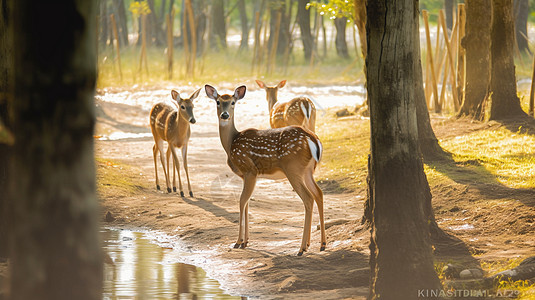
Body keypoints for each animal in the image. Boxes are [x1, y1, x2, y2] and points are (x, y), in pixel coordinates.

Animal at [205, 84, 326, 255]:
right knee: (318, 193)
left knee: (308, 198)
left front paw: (238, 242)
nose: (225, 115)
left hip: (293, 168)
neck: (231, 143)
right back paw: (320, 244)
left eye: (233, 102)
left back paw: (302, 248)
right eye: (218, 102)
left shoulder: (250, 170)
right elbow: (247, 202)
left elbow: (242, 201)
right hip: (307, 170)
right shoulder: (246, 175)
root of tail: (313, 139)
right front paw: (246, 241)